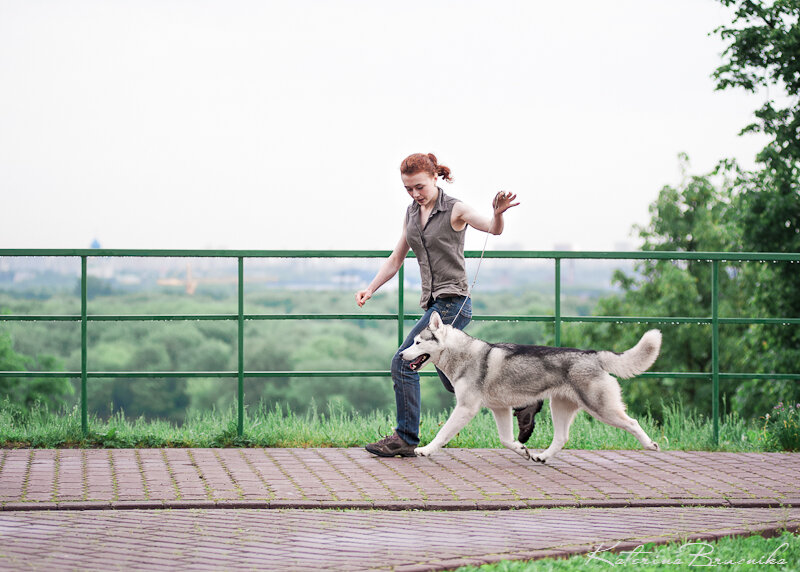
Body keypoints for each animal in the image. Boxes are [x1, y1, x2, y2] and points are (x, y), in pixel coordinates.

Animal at [400, 312, 664, 464]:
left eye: (418, 342)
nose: (401, 354)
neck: (462, 355)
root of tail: (594, 355)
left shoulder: (466, 408)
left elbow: (443, 433)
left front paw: (425, 450)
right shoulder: (500, 409)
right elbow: (506, 440)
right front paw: (522, 449)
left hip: (602, 408)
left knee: (632, 423)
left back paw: (650, 445)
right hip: (560, 408)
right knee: (561, 437)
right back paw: (542, 456)